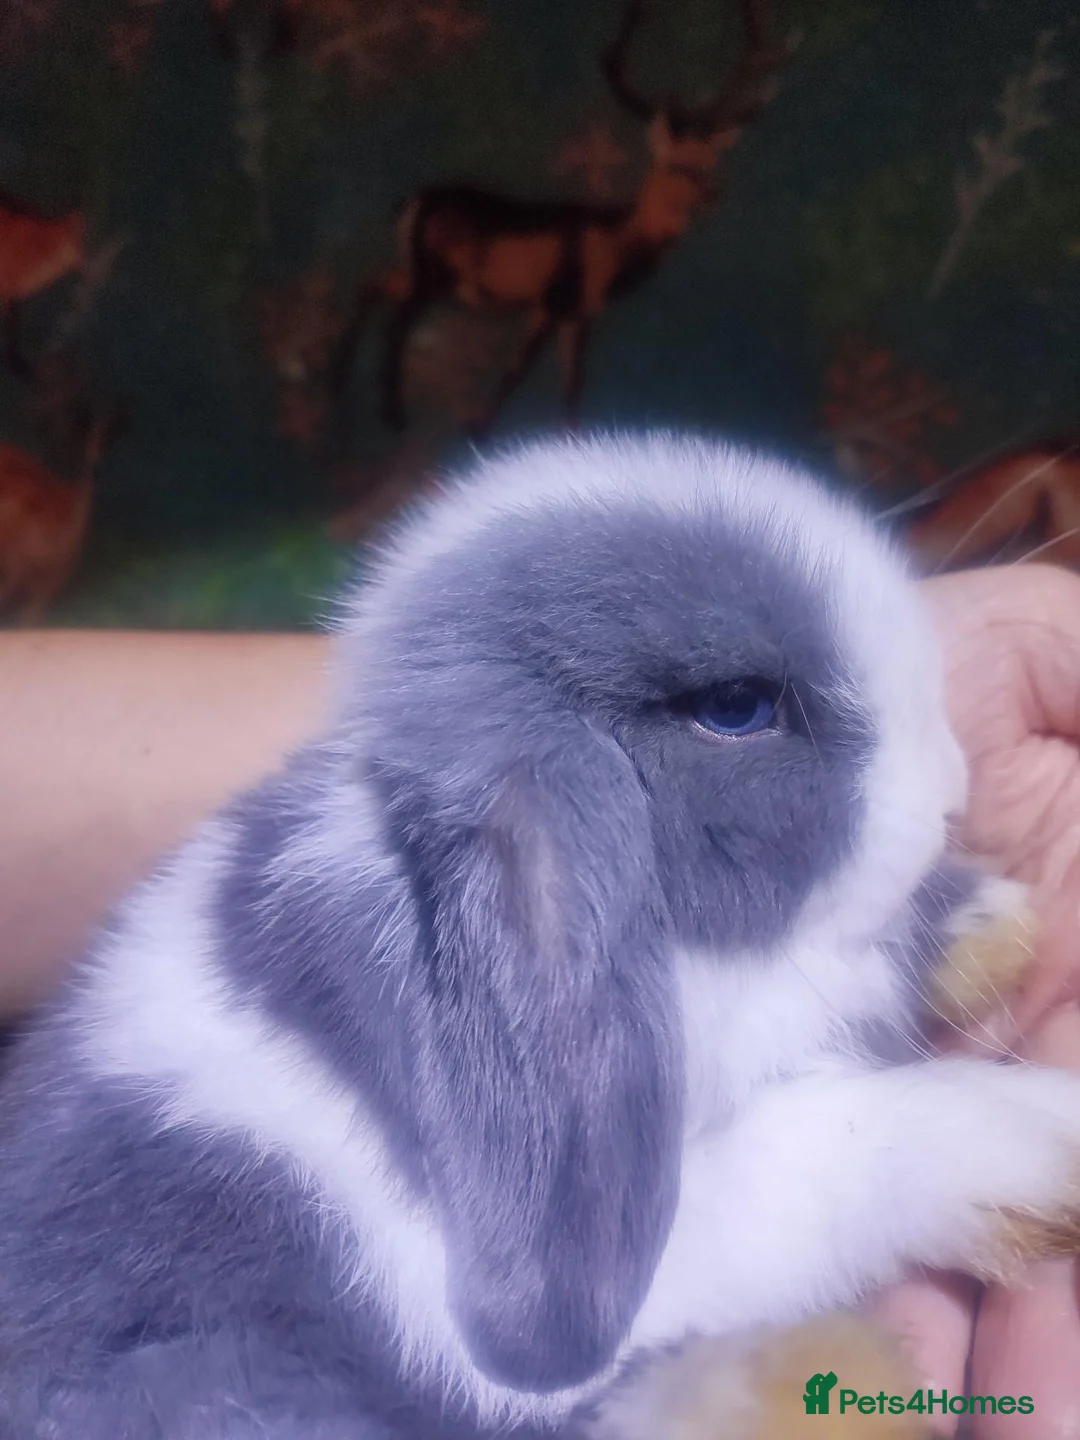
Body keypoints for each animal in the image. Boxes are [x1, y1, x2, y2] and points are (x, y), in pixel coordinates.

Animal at [2, 430, 1079, 1440]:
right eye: (737, 707)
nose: (951, 795)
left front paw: (988, 926)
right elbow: (829, 1146)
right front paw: (1040, 1144)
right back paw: (826, 1378)